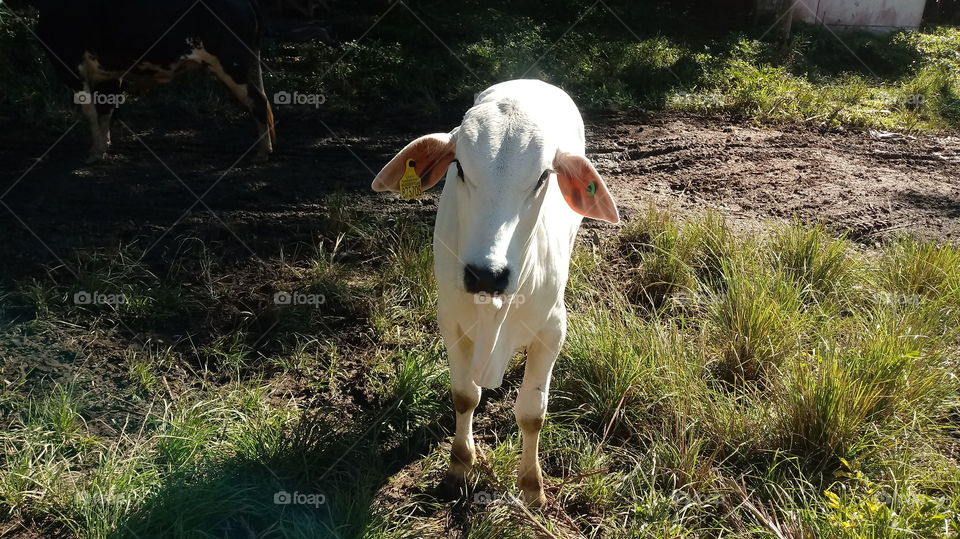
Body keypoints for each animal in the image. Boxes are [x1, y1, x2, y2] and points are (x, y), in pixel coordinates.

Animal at [34, 0, 275, 163]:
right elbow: (105, 110)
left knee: (258, 101)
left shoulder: (70, 66)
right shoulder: (109, 74)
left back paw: (262, 153)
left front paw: (93, 153)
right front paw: (103, 146)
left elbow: (90, 110)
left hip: (233, 64)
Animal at [372, 79, 620, 506]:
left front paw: (532, 487)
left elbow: (532, 413)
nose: (486, 274)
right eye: (459, 167)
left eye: (543, 177)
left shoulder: (553, 328)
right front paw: (458, 468)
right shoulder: (451, 322)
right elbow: (464, 396)